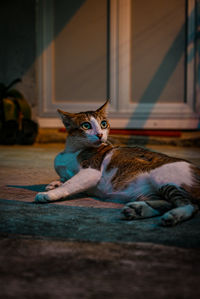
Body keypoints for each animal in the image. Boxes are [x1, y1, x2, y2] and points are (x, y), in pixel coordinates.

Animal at [34, 101, 200, 227]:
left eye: (103, 124)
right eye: (86, 126)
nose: (100, 135)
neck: (71, 150)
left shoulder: (92, 171)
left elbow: (70, 183)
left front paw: (50, 193)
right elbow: (65, 178)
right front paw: (54, 183)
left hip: (162, 177)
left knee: (190, 205)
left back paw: (171, 216)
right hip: (148, 192)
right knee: (167, 202)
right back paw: (138, 210)